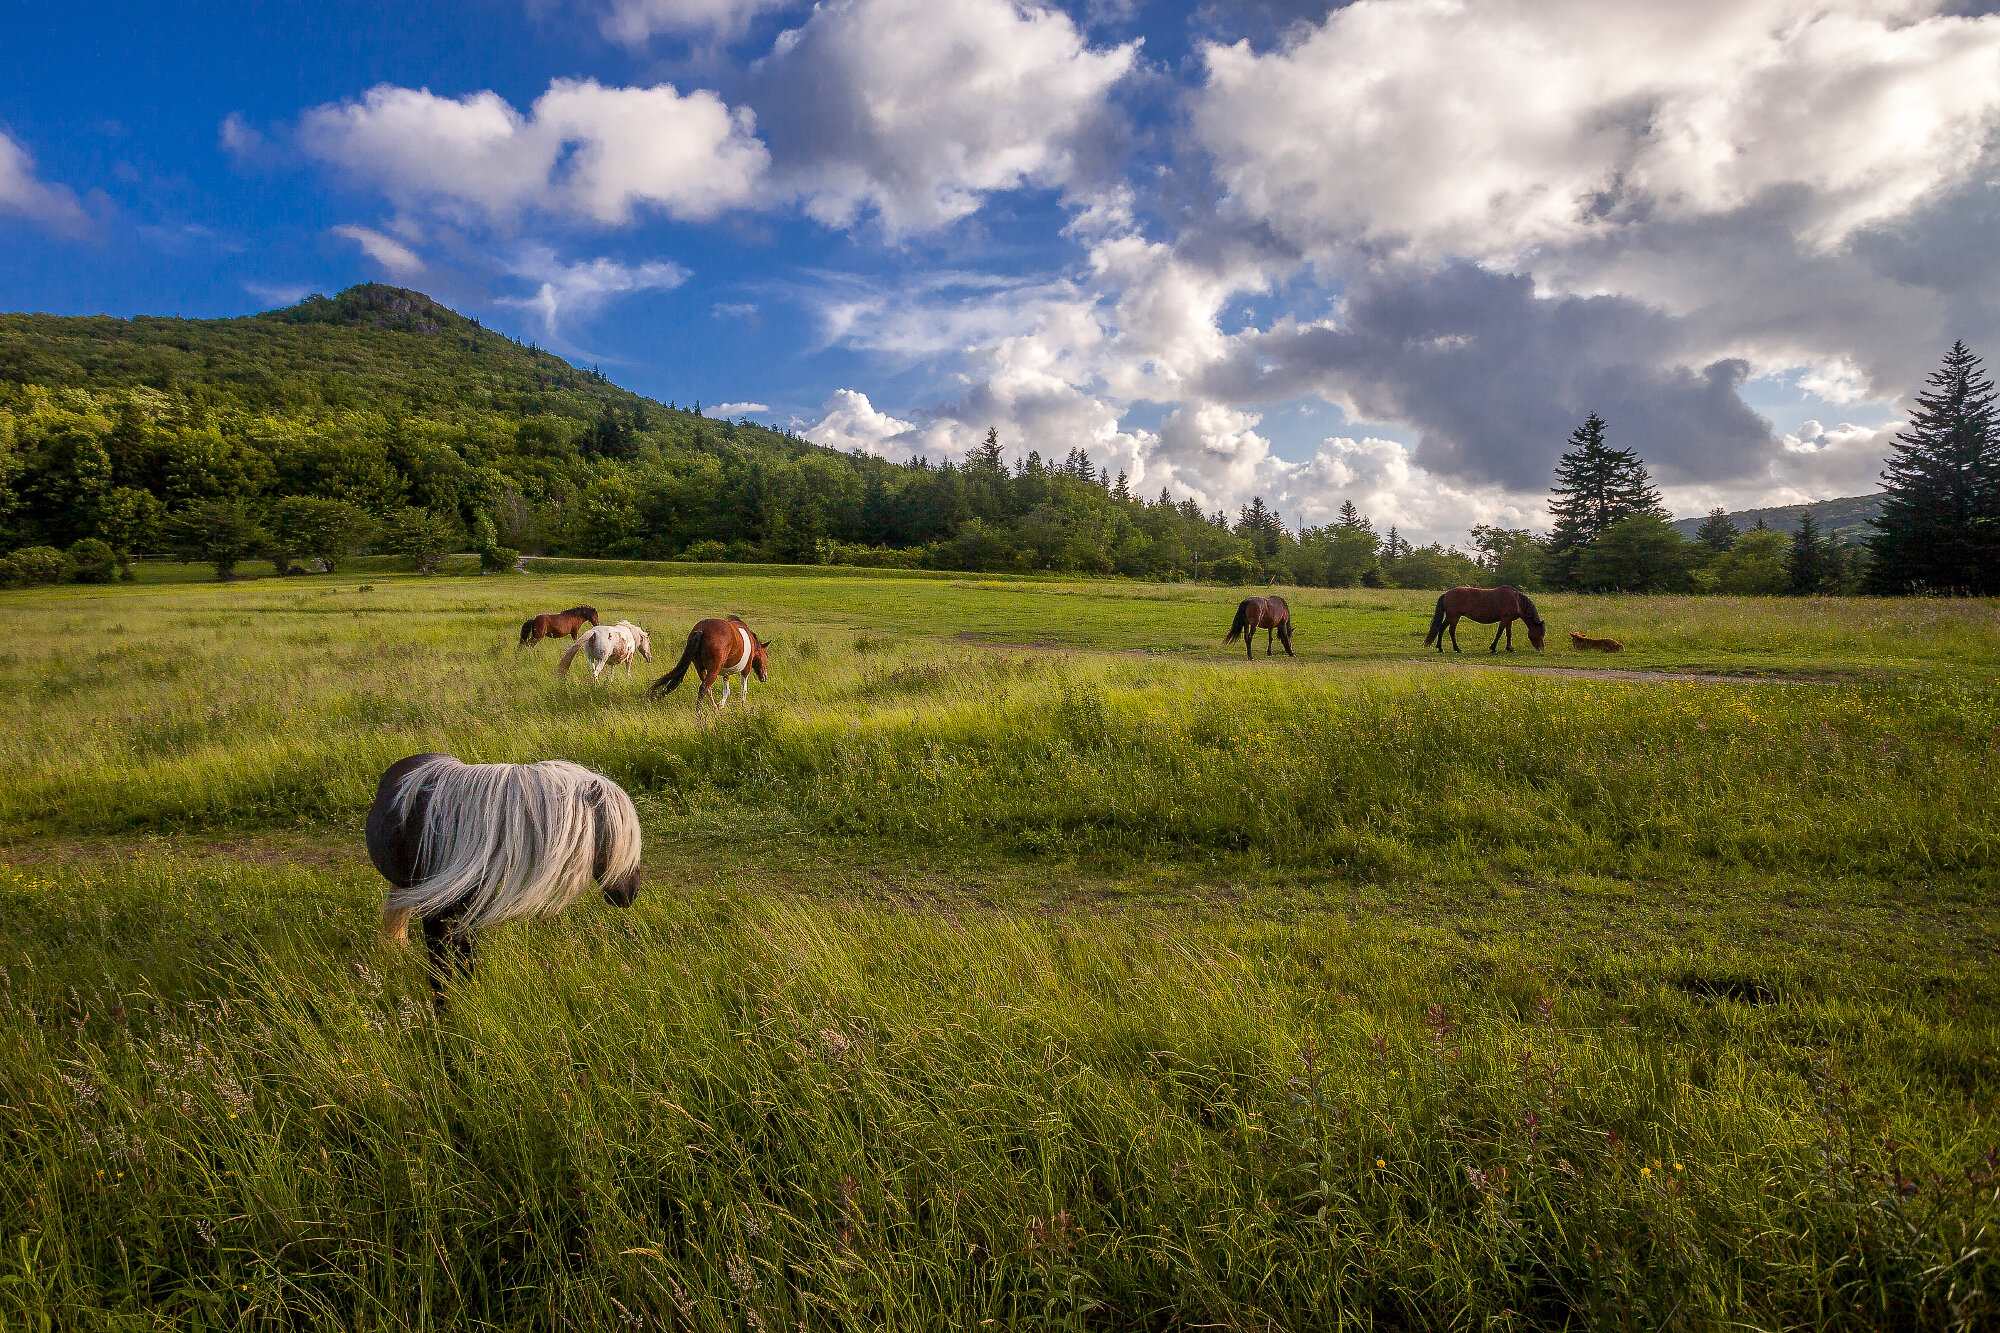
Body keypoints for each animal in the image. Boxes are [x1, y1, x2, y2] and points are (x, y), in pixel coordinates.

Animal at [368, 754, 641, 996]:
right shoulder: (434, 918)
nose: (632, 891)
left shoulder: (470, 910)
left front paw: (471, 997)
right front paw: (445, 1015)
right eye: (614, 835)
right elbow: (440, 974)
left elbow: (467, 959)